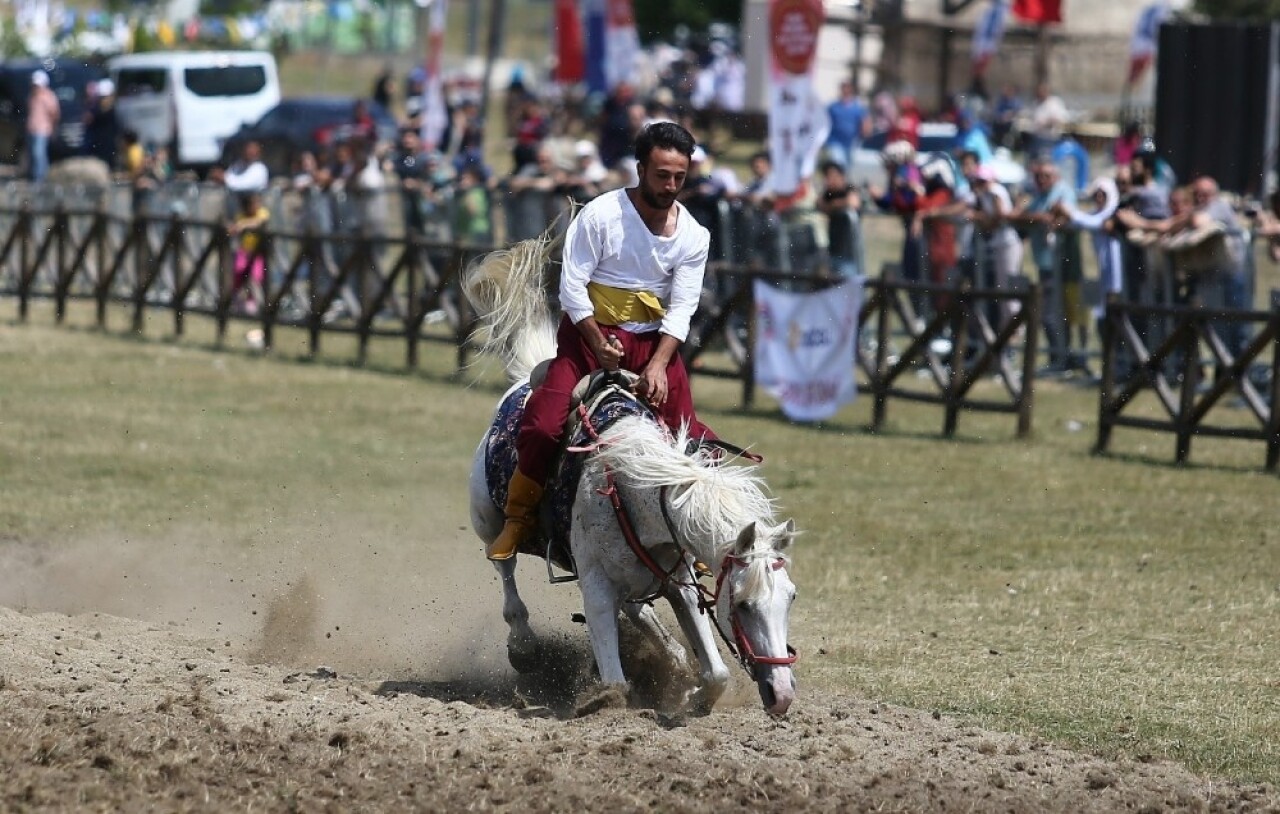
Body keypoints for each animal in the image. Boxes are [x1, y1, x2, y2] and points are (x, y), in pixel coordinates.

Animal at [460, 227, 798, 711]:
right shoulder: (596, 586)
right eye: (744, 604)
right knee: (506, 577)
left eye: (790, 597)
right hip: (489, 523)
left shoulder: (680, 582)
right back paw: (523, 647)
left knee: (638, 609)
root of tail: (528, 375)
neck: (637, 494)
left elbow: (715, 672)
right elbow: (615, 683)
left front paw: (691, 692)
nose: (782, 694)